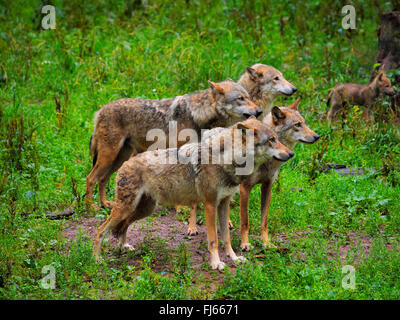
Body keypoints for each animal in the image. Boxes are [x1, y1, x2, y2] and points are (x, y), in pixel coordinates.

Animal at [85, 79, 260, 209]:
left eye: (249, 97)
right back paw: (90, 207)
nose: (259, 112)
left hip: (119, 158)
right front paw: (181, 208)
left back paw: (105, 204)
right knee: (90, 178)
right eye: (240, 98)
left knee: (102, 179)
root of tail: (99, 111)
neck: (198, 114)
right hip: (109, 156)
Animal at [94, 117, 294, 270]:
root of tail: (125, 164)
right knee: (100, 230)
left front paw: (235, 258)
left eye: (277, 138)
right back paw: (97, 259)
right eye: (271, 140)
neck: (225, 161)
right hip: (126, 208)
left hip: (142, 210)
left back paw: (123, 247)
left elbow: (227, 238)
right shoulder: (210, 205)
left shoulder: (224, 203)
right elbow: (214, 240)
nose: (291, 154)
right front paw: (216, 264)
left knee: (123, 226)